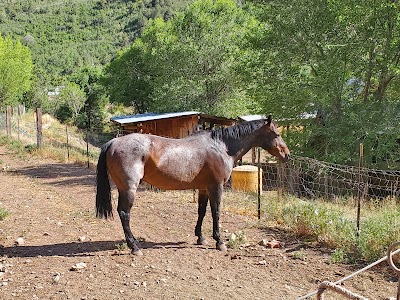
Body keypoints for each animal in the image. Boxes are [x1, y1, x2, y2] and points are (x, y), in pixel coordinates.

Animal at [97, 116, 290, 254]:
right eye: (277, 134)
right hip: (129, 189)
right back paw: (134, 247)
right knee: (125, 214)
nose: (287, 154)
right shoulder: (216, 187)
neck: (221, 147)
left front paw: (200, 238)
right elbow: (216, 213)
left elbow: (202, 212)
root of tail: (114, 142)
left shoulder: (204, 188)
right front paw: (219, 242)